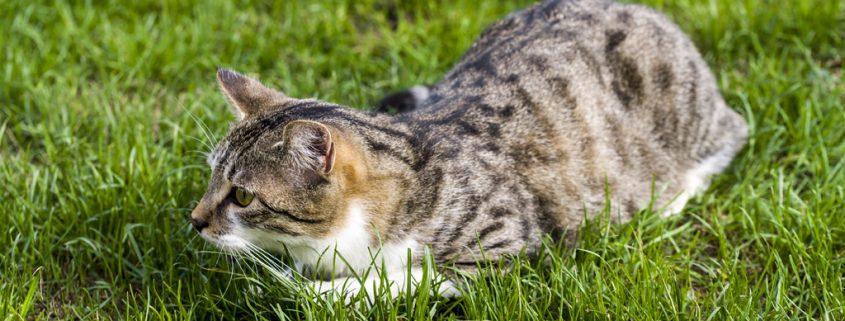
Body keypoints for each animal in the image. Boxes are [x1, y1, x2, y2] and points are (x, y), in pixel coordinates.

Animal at [190, 0, 744, 300]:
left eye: (241, 196)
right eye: (212, 175)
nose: (194, 220)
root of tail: (649, 12)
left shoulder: (506, 247)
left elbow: (409, 277)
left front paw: (311, 293)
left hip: (691, 122)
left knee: (729, 140)